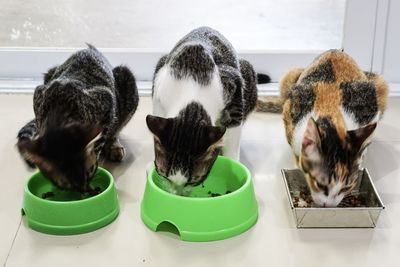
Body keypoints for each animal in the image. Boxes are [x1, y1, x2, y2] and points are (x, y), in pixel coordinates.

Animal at [16, 45, 139, 194]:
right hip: (49, 74)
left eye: (89, 173)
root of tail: (90, 48)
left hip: (126, 79)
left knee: (116, 129)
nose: (84, 190)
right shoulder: (38, 95)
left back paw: (113, 146)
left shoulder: (106, 99)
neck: (58, 115)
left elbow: (103, 135)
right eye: (66, 184)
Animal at [145, 26, 264, 195]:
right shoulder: (159, 92)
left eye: (192, 181)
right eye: (165, 176)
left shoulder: (233, 86)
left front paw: (233, 164)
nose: (178, 194)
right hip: (160, 63)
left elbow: (233, 136)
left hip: (247, 72)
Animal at [256, 49, 388, 207]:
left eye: (347, 188)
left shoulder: (370, 111)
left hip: (379, 85)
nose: (329, 205)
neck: (332, 114)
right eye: (320, 185)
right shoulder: (290, 110)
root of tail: (336, 50)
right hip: (290, 77)